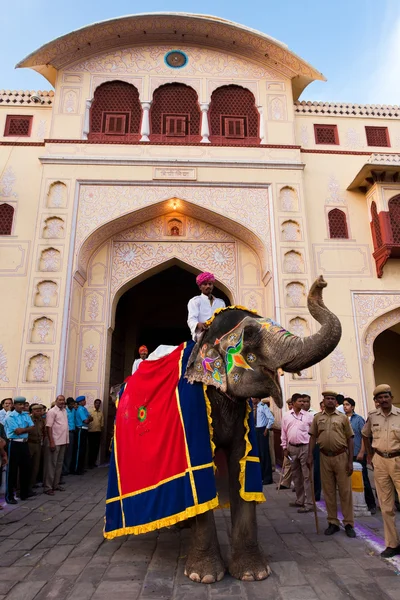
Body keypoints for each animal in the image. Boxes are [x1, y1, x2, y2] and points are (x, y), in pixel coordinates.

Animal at [104, 276, 340, 580]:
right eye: (249, 335)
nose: (322, 281)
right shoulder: (192, 417)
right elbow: (200, 472)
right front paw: (204, 576)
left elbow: (242, 466)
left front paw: (253, 574)